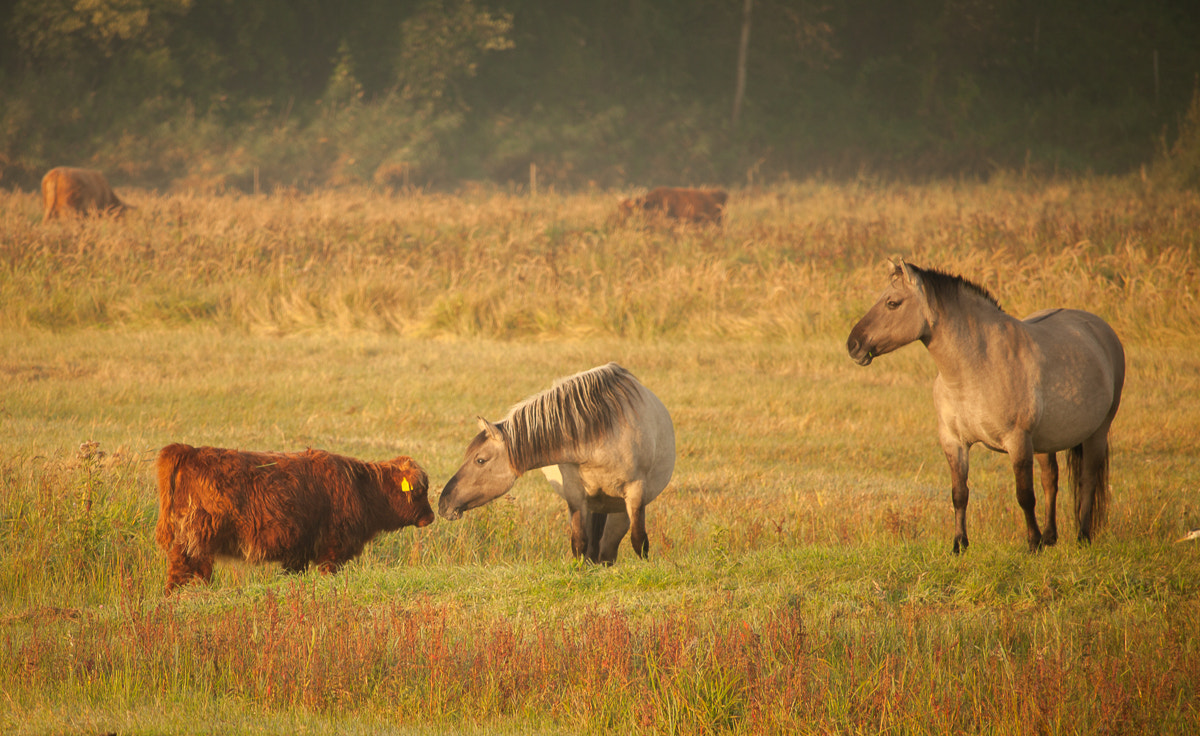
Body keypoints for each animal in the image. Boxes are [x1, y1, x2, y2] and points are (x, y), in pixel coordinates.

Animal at [154, 443, 435, 593]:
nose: (431, 516)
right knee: (183, 570)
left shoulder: (297, 553)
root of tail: (191, 451)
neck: (361, 487)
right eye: (420, 491)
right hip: (196, 539)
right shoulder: (332, 549)